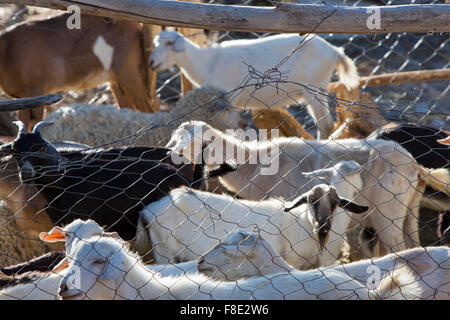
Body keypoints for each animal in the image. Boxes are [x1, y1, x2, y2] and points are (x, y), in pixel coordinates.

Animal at [0, 12, 160, 131]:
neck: (7, 49)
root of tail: (137, 27)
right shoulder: (22, 97)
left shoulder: (35, 90)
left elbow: (31, 124)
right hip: (118, 82)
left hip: (129, 73)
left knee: (149, 111)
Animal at [137, 175, 370, 270]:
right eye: (311, 202)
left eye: (335, 204)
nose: (323, 226)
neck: (299, 224)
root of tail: (148, 210)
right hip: (165, 252)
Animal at [149, 30, 358, 139]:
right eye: (156, 43)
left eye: (169, 44)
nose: (151, 62)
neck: (207, 62)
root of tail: (334, 51)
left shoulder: (229, 98)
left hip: (314, 88)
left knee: (325, 124)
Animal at [166, 121, 450, 256]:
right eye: (175, 137)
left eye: (192, 141)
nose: (171, 154)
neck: (254, 164)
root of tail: (415, 166)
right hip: (410, 207)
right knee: (413, 244)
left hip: (388, 211)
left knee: (398, 248)